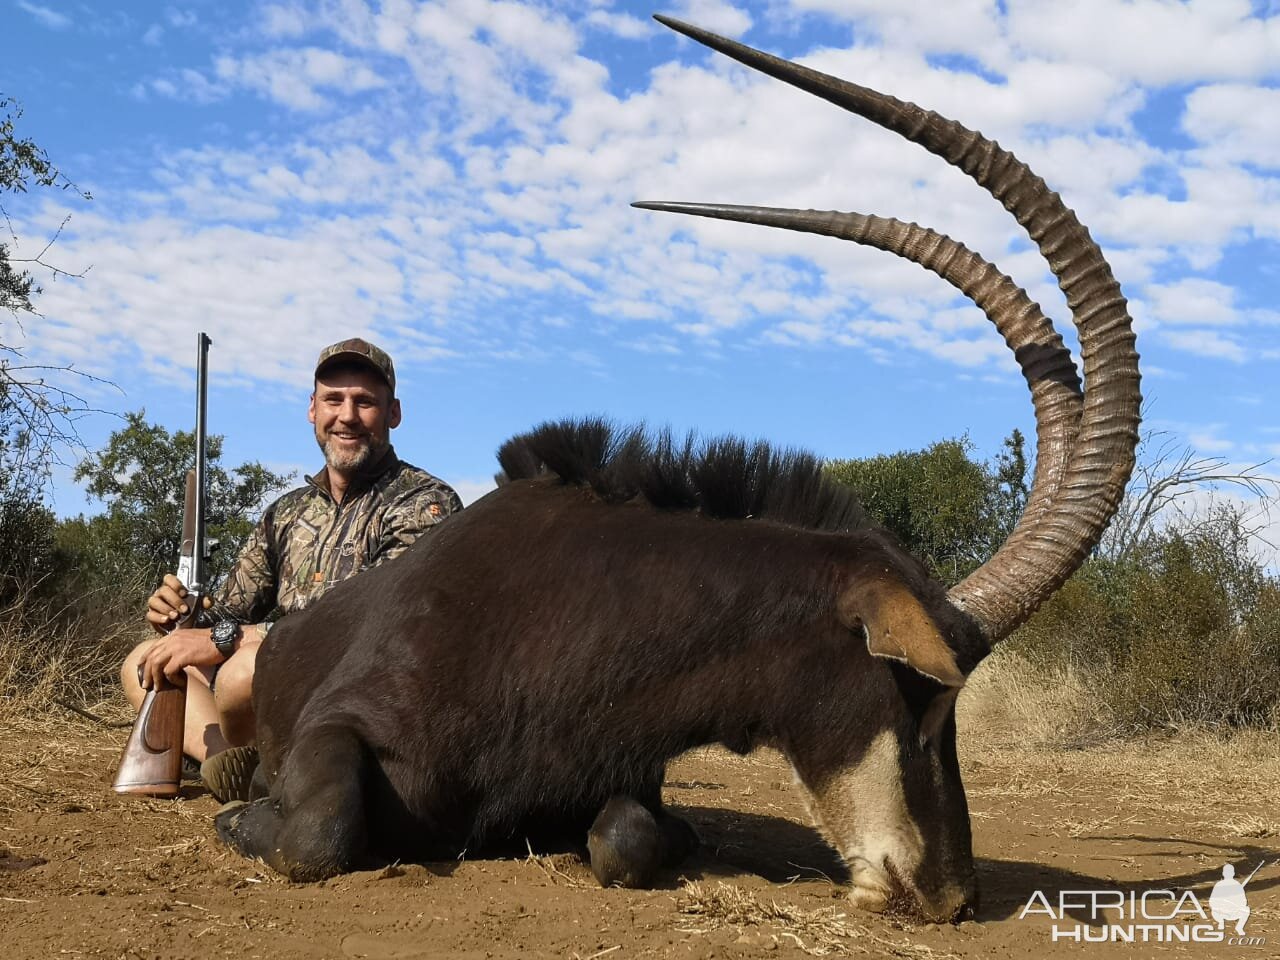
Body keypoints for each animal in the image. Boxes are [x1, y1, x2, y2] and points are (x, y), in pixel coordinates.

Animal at [212, 16, 1141, 926]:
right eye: (921, 692)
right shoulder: (338, 729)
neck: (560, 616)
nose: (952, 896)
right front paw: (241, 816)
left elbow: (626, 838)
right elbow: (318, 834)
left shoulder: (628, 777)